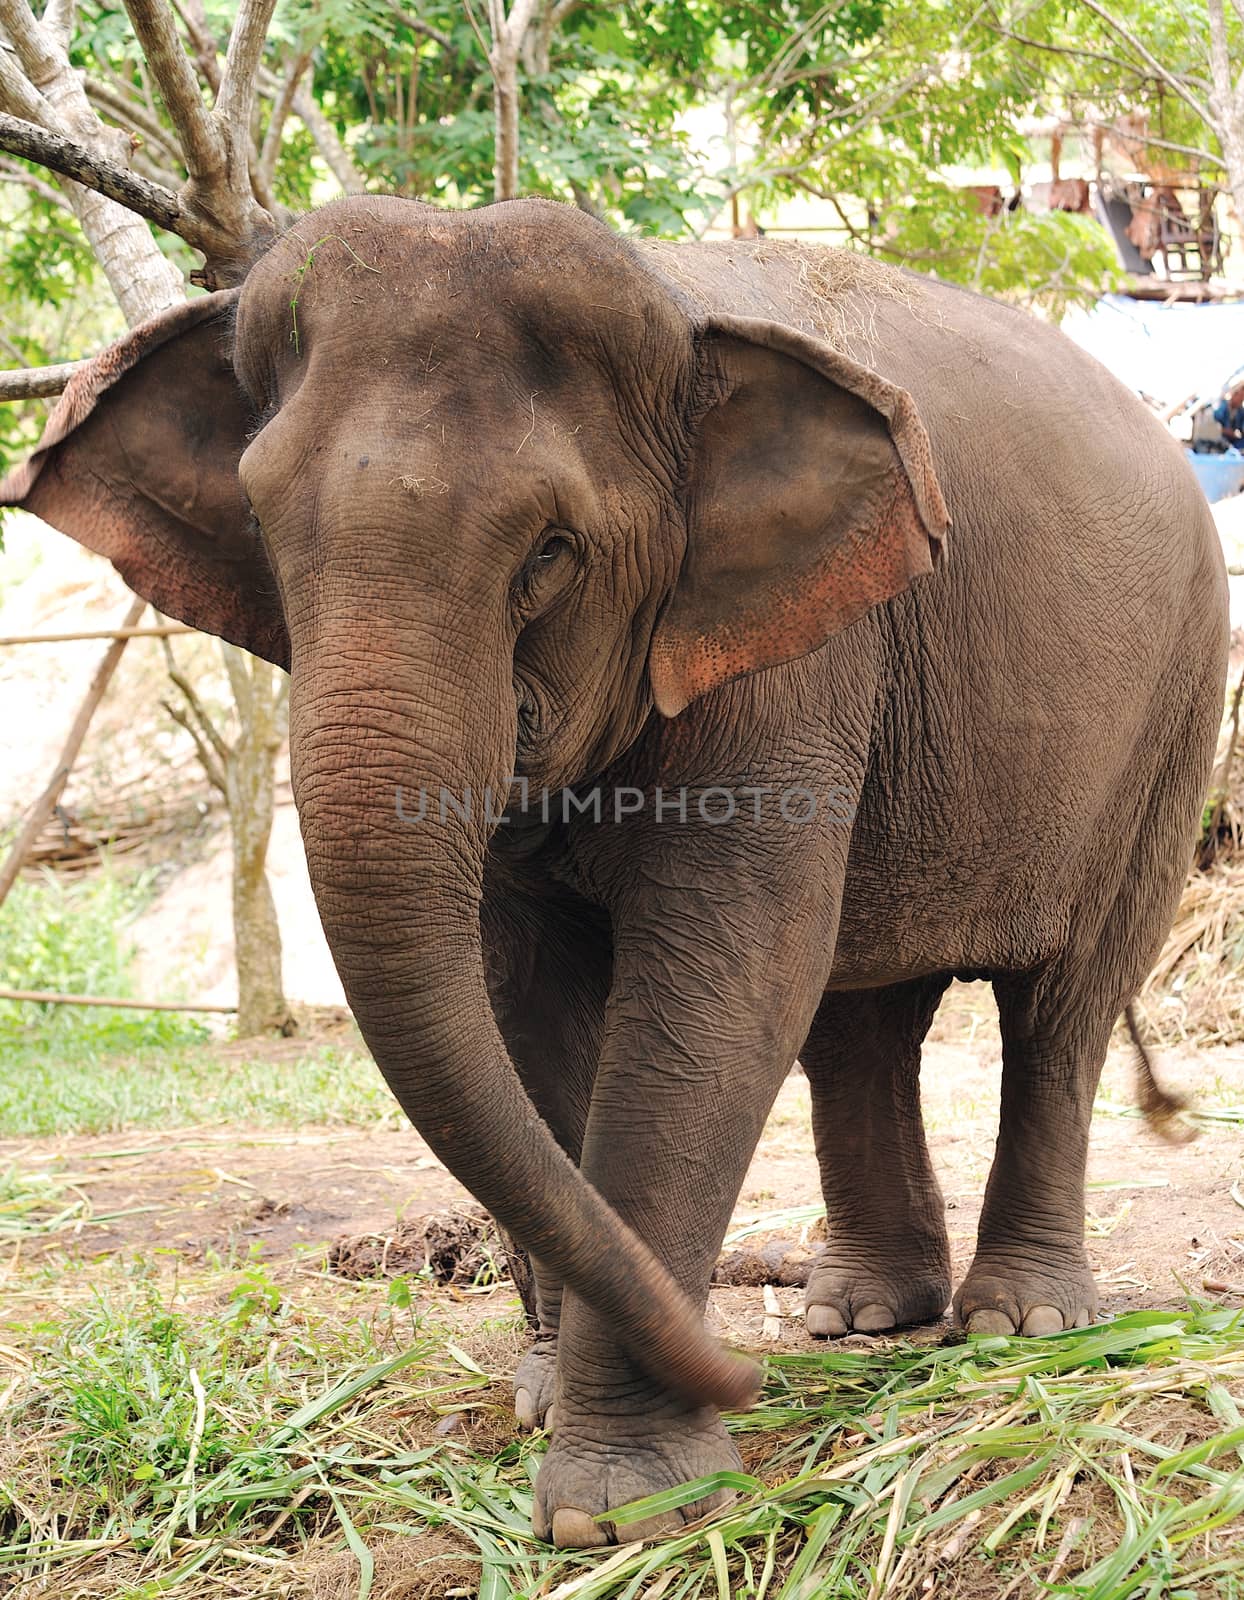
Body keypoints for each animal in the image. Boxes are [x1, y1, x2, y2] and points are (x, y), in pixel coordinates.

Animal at [0, 193, 1221, 1542]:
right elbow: (527, 1005)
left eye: (548, 551)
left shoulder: (792, 665)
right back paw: (853, 1316)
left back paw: (1021, 1322)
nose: (737, 1374)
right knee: (857, 1019)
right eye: (261, 529)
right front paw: (543, 1403)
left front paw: (621, 1508)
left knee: (1061, 1001)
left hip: (1173, 705)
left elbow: (713, 992)